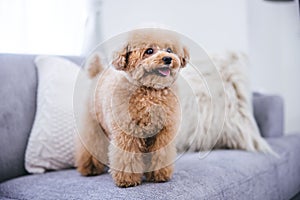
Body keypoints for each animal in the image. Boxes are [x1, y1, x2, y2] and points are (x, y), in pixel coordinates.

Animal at [77, 29, 190, 188]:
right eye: (149, 51)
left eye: (169, 50)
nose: (168, 59)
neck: (149, 92)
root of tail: (98, 72)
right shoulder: (127, 132)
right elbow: (127, 156)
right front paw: (127, 180)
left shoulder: (163, 132)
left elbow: (160, 154)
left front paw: (158, 175)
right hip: (93, 125)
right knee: (91, 144)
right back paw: (90, 168)